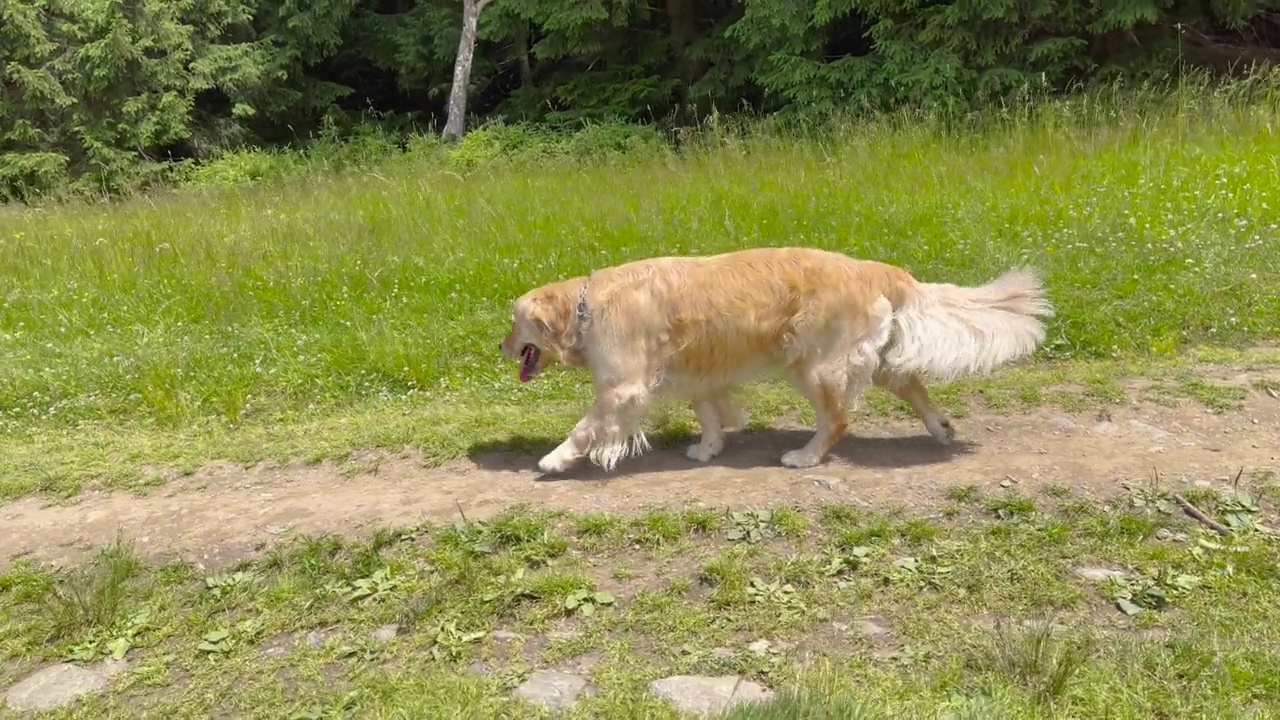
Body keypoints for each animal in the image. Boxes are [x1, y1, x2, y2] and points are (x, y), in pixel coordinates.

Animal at [499, 243, 1049, 474]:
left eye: (514, 321)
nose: (498, 347)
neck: (586, 305)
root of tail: (878, 268)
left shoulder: (622, 387)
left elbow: (586, 428)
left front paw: (553, 459)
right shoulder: (699, 374)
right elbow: (708, 413)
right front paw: (709, 448)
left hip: (813, 365)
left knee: (838, 420)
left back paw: (805, 456)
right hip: (874, 361)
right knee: (914, 385)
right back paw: (941, 429)